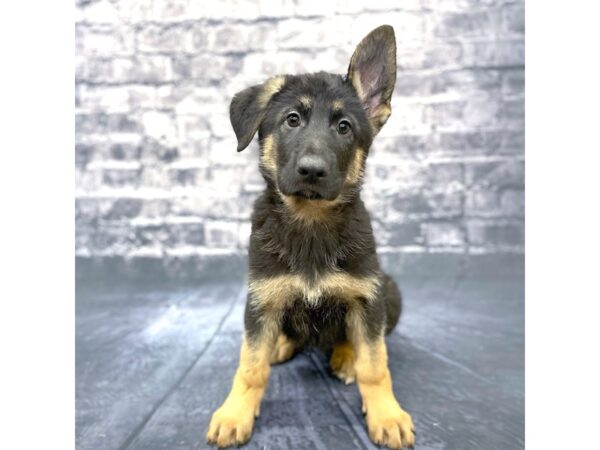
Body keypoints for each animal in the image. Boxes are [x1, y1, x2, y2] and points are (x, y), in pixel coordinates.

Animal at [205, 25, 412, 450]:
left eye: (344, 126)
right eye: (292, 120)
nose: (312, 171)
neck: (311, 224)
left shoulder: (367, 299)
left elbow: (375, 364)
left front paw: (387, 414)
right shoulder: (261, 300)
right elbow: (250, 366)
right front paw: (234, 413)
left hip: (387, 291)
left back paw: (345, 357)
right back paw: (282, 345)